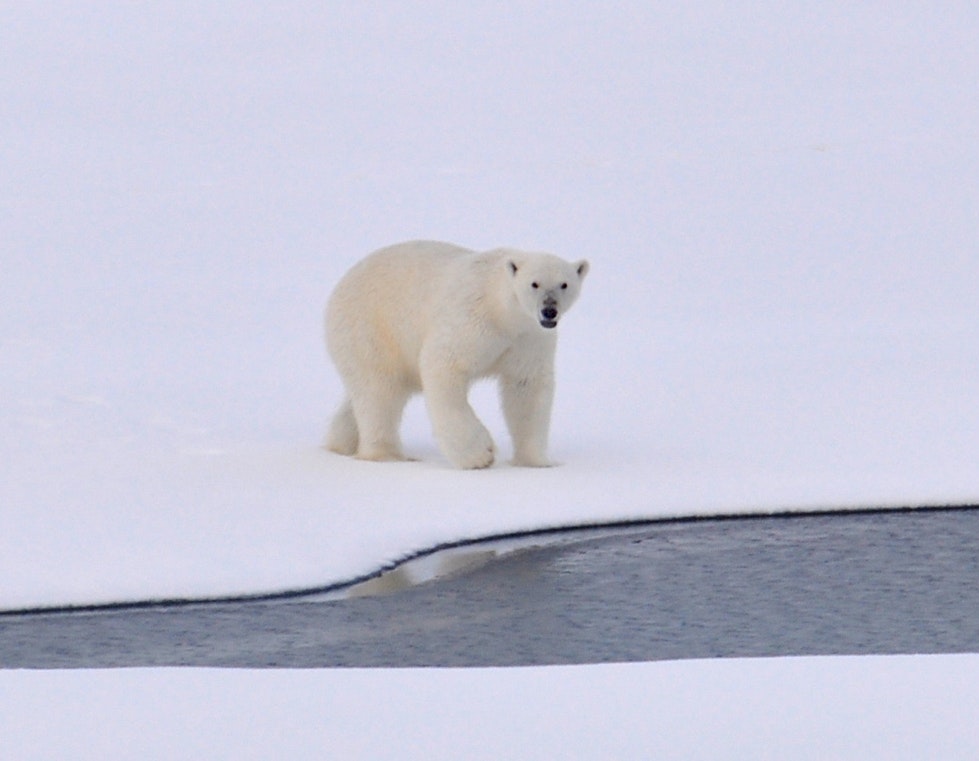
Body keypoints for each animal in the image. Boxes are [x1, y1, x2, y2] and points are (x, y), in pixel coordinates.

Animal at [330, 240, 588, 466]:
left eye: (564, 284)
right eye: (534, 284)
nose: (549, 310)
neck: (502, 311)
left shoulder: (529, 338)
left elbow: (526, 387)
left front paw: (537, 461)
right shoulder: (472, 318)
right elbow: (444, 364)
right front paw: (480, 454)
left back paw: (340, 443)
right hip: (371, 329)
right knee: (379, 391)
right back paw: (387, 455)